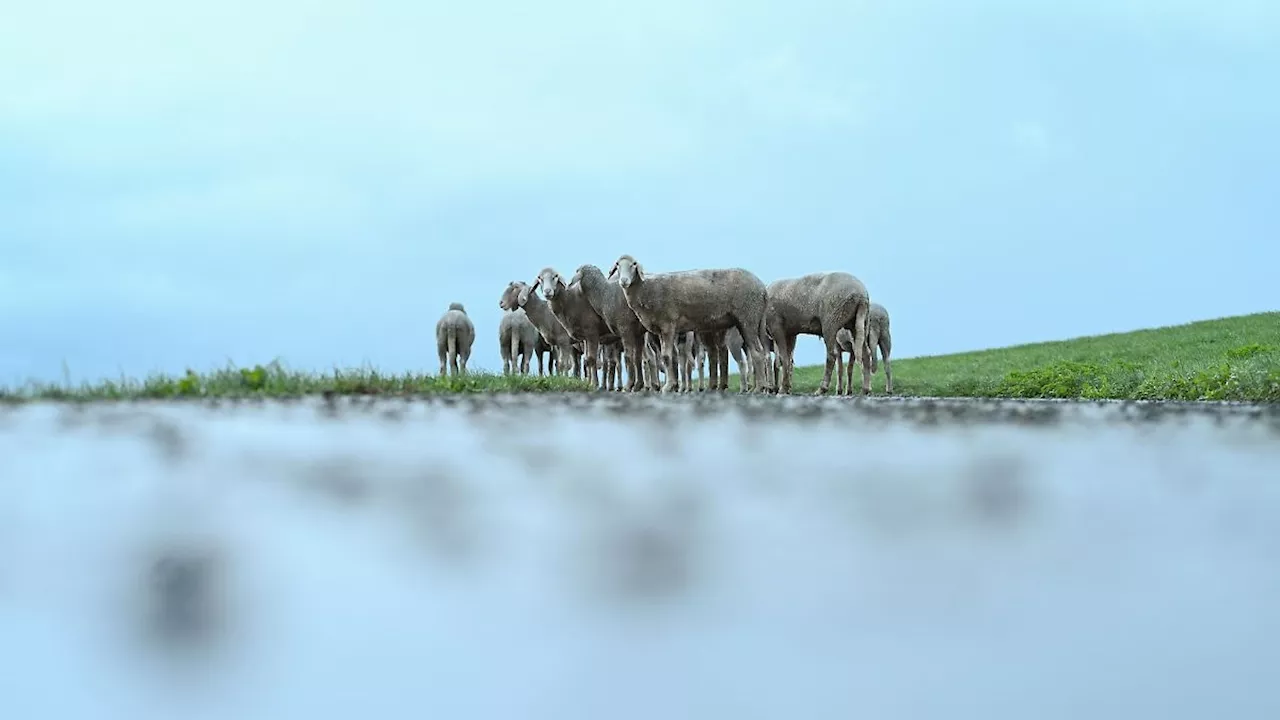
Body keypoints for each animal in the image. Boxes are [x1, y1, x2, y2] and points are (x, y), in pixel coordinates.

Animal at [606, 253, 768, 392]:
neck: (645, 290)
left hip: (748, 318)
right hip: (751, 320)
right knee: (759, 352)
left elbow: (666, 356)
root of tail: (762, 288)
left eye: (634, 264)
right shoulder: (661, 329)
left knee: (756, 352)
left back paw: (758, 388)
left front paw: (668, 386)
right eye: (617, 265)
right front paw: (672, 385)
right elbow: (669, 357)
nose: (624, 281)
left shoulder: (668, 324)